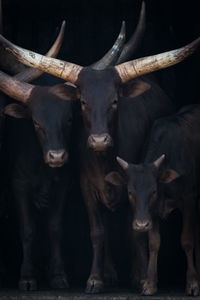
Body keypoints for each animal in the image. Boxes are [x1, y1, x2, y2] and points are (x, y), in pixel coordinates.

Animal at [105, 105, 200, 296]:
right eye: (130, 192)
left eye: (154, 190)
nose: (141, 224)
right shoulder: (152, 213)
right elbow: (154, 243)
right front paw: (149, 283)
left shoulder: (189, 199)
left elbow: (187, 240)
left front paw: (193, 283)